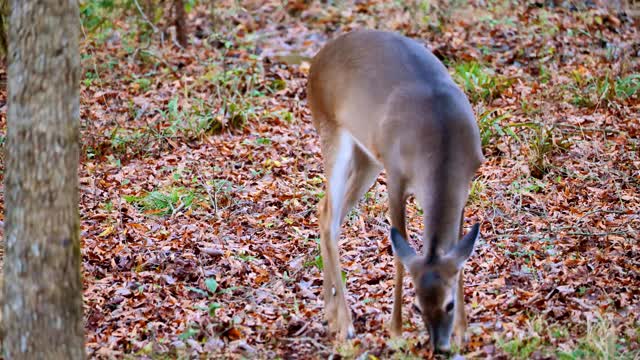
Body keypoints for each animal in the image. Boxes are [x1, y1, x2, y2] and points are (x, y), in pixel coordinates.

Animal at [308, 31, 482, 352]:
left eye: (449, 305)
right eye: (417, 307)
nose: (439, 345)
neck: (442, 148)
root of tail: (318, 58)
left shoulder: (466, 183)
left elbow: (460, 256)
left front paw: (463, 332)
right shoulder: (396, 177)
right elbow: (401, 255)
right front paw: (396, 332)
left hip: (367, 158)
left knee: (325, 211)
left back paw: (329, 313)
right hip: (332, 132)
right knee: (328, 217)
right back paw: (346, 325)